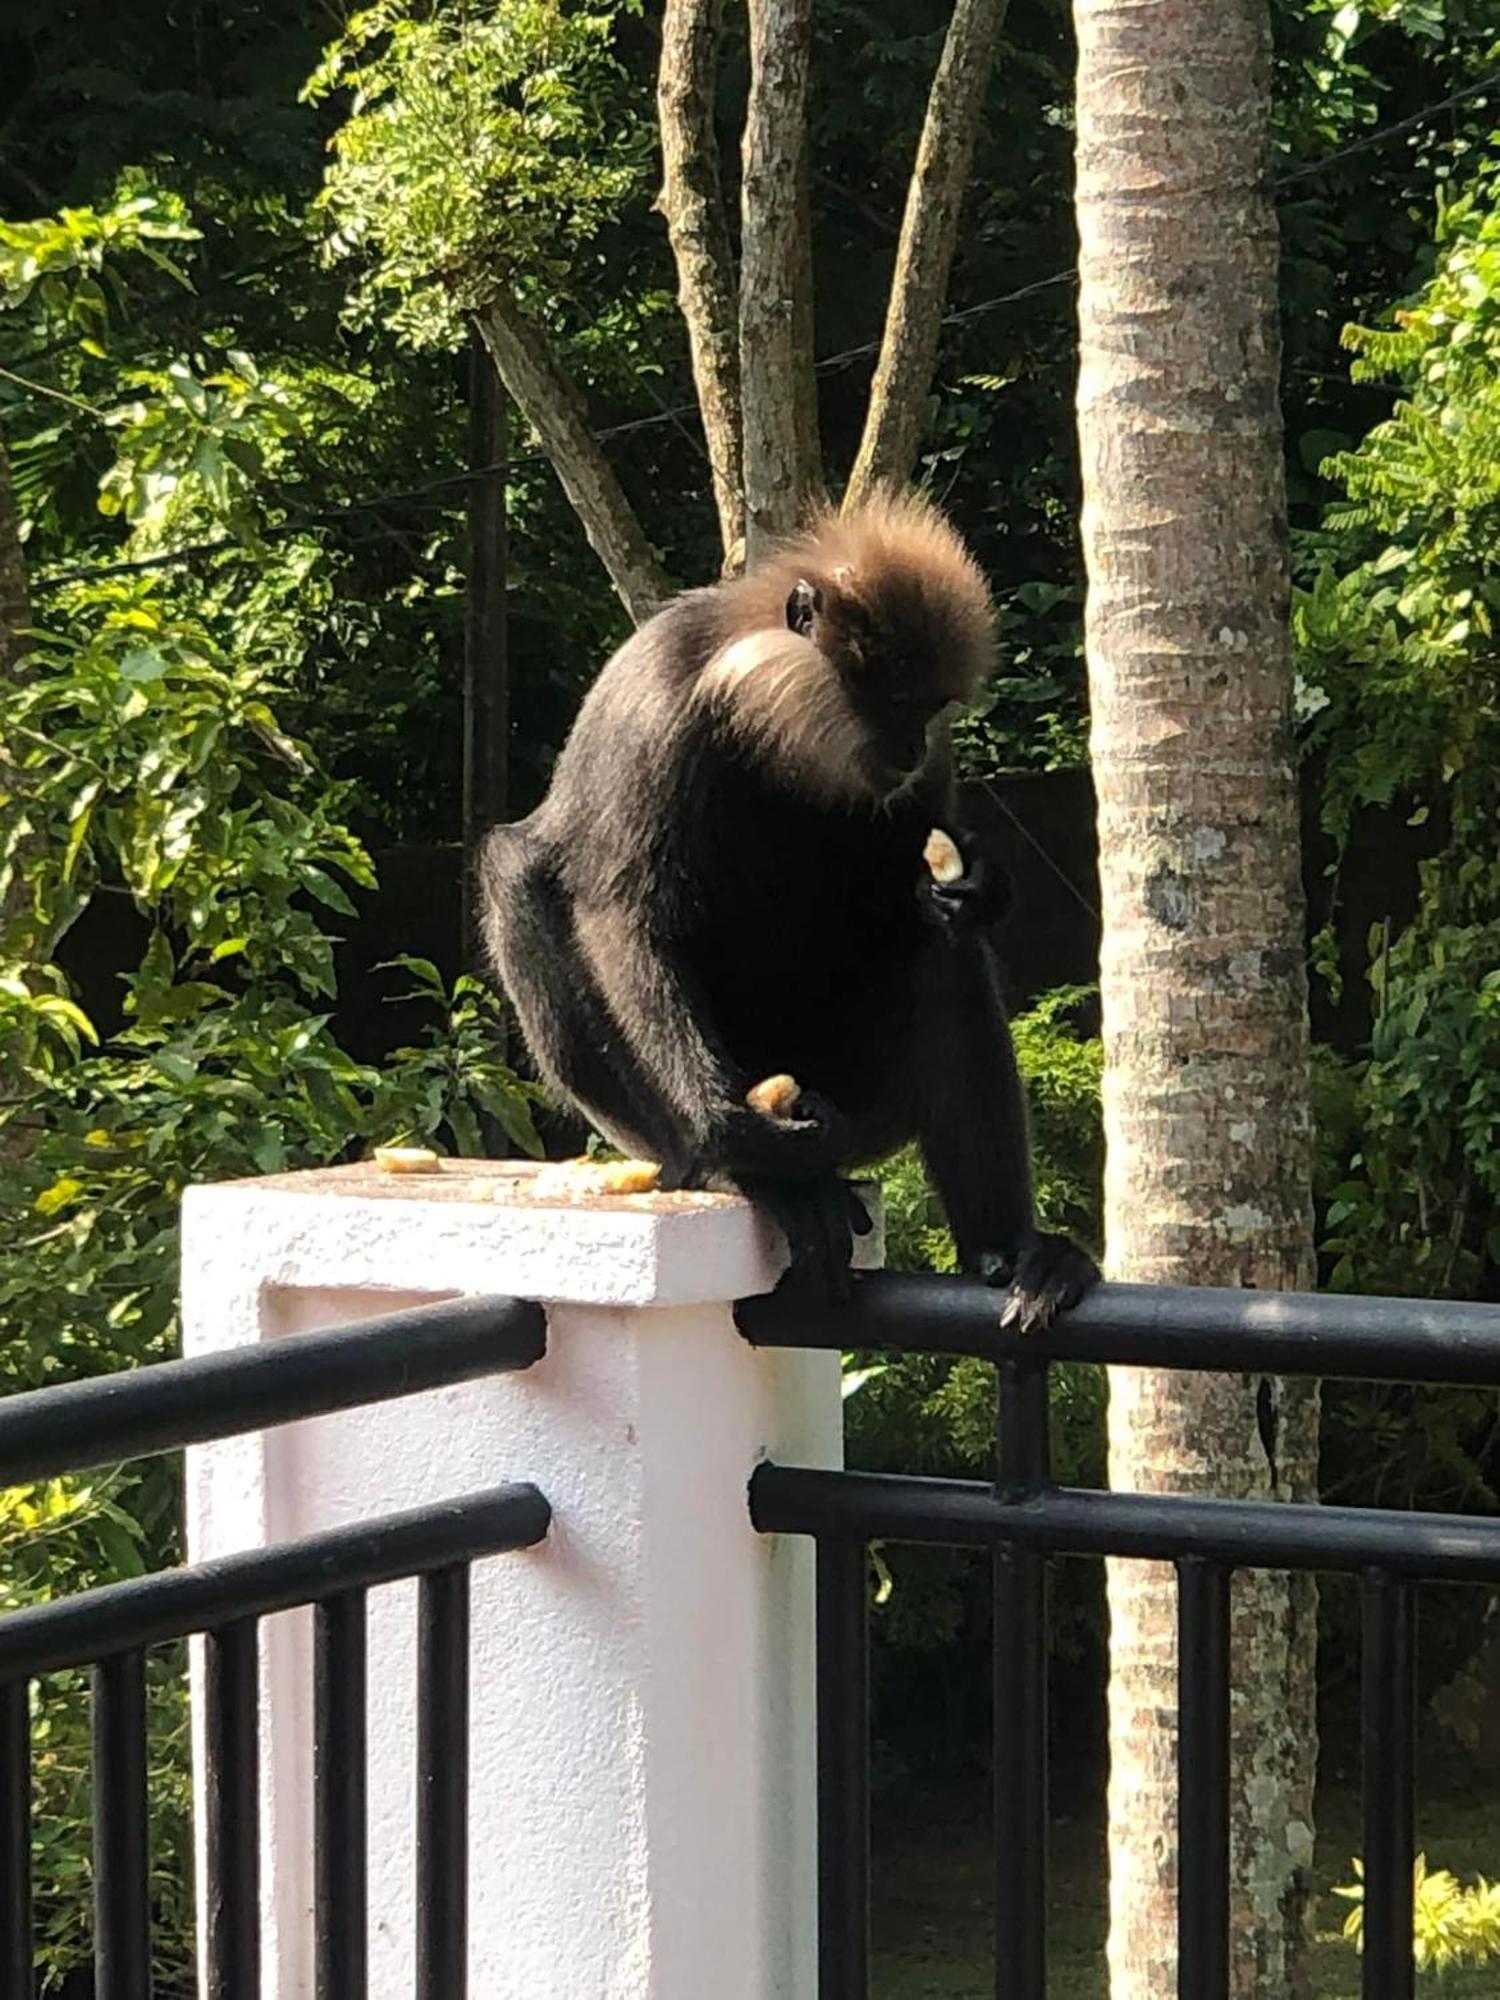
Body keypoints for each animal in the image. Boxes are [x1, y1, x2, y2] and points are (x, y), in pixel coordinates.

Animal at [482, 488, 1104, 1328]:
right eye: (891, 701)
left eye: (929, 708)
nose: (909, 749)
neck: (771, 730)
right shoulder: (660, 706)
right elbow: (623, 915)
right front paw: (726, 1128)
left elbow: (922, 900)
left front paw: (977, 886)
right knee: (517, 875)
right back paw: (755, 1177)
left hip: (866, 1108)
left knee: (942, 954)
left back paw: (1016, 1253)